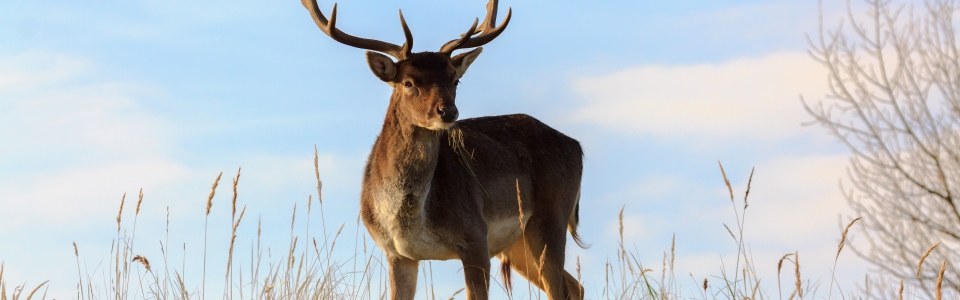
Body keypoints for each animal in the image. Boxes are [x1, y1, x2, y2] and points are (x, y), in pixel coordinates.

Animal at [300, 1, 584, 298]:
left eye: (455, 79)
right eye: (408, 82)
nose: (447, 112)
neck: (412, 218)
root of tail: (576, 146)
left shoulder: (475, 236)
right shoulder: (396, 253)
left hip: (551, 218)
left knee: (561, 288)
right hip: (518, 244)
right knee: (574, 285)